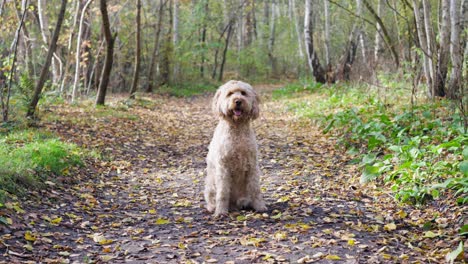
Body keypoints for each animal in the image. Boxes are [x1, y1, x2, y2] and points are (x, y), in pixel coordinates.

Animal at [205, 80, 266, 217]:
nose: (238, 101)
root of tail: (235, 204)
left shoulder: (252, 165)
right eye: (230, 94)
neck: (237, 126)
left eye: (243, 93)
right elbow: (222, 192)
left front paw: (260, 206)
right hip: (211, 183)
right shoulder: (223, 167)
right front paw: (221, 211)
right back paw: (213, 207)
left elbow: (255, 188)